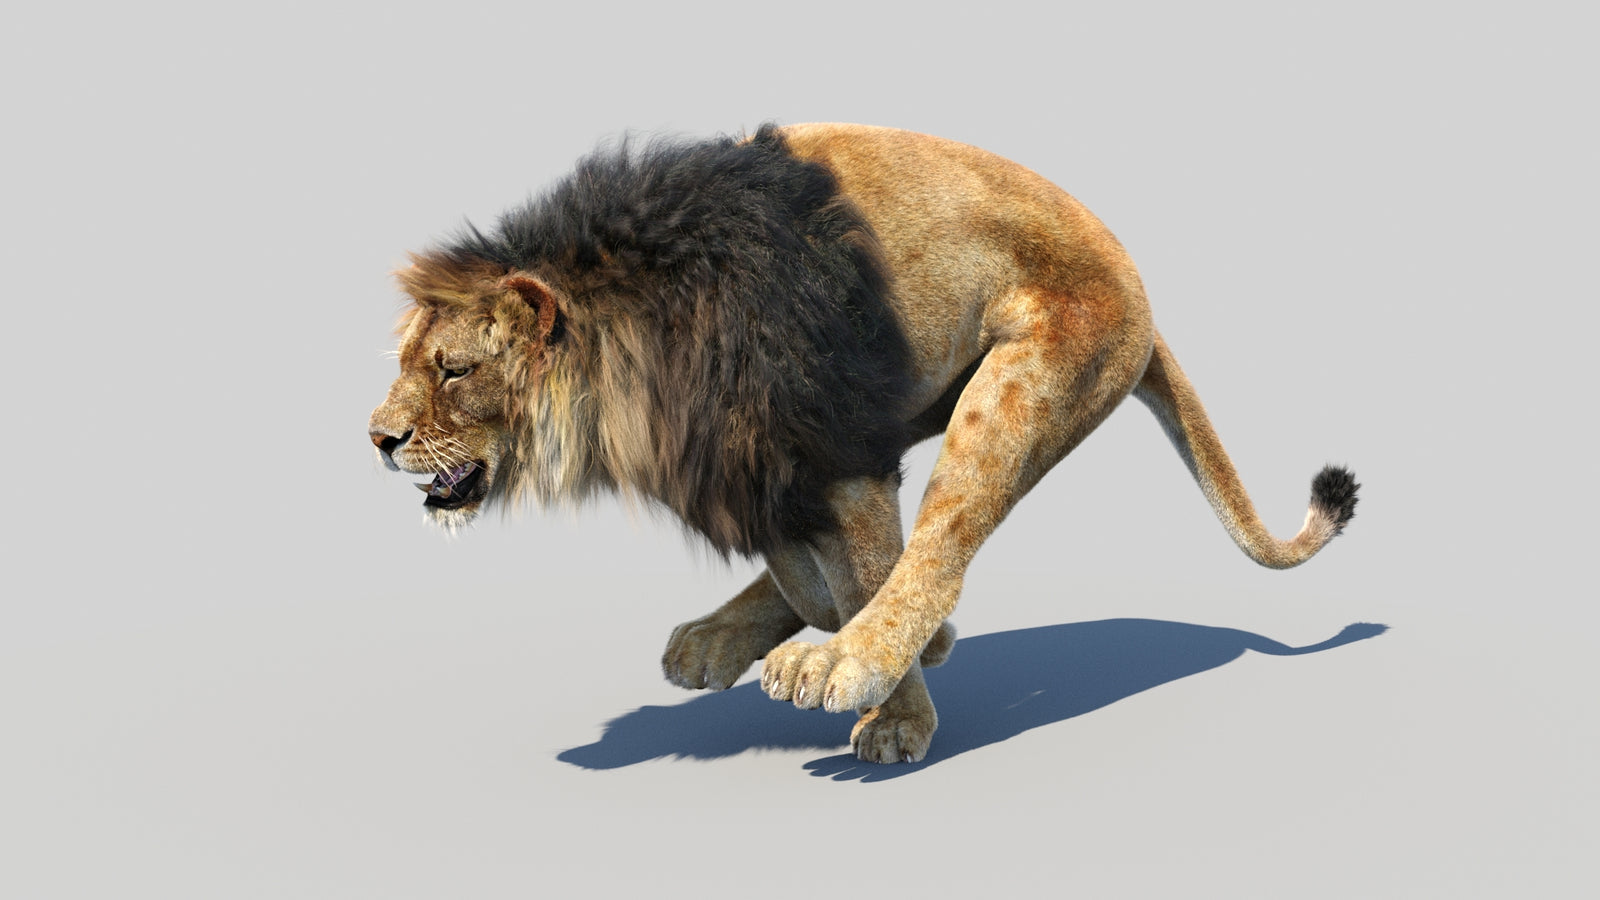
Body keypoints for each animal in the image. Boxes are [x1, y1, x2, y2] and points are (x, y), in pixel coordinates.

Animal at [369, 123, 1359, 764]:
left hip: (1025, 378)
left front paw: (893, 712)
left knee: (941, 546)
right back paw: (727, 641)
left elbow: (865, 570)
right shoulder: (756, 461)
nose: (378, 438)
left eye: (454, 371)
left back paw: (850, 656)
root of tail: (1139, 283)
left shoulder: (834, 448)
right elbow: (808, 568)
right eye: (409, 361)